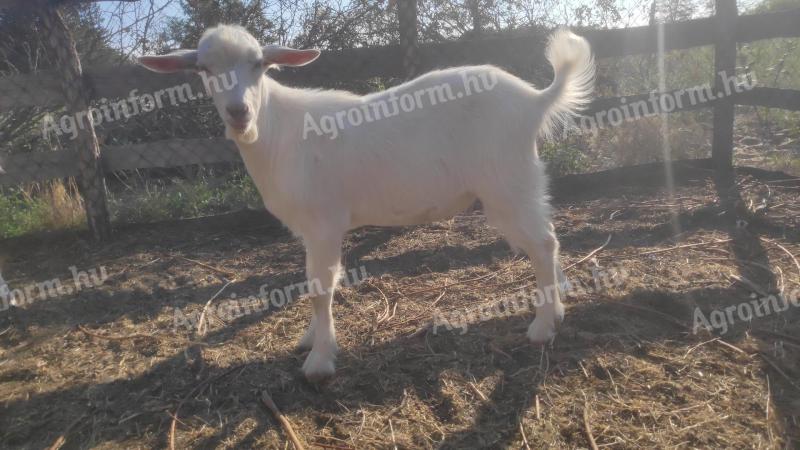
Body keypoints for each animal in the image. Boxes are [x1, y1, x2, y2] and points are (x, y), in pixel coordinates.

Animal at [139, 25, 592, 380]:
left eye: (258, 63)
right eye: (203, 68)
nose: (238, 112)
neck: (276, 133)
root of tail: (535, 100)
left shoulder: (324, 223)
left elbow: (320, 287)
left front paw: (321, 359)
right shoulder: (307, 229)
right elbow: (311, 281)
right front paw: (310, 338)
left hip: (506, 181)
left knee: (542, 243)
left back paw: (542, 326)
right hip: (520, 181)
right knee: (547, 235)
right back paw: (558, 307)